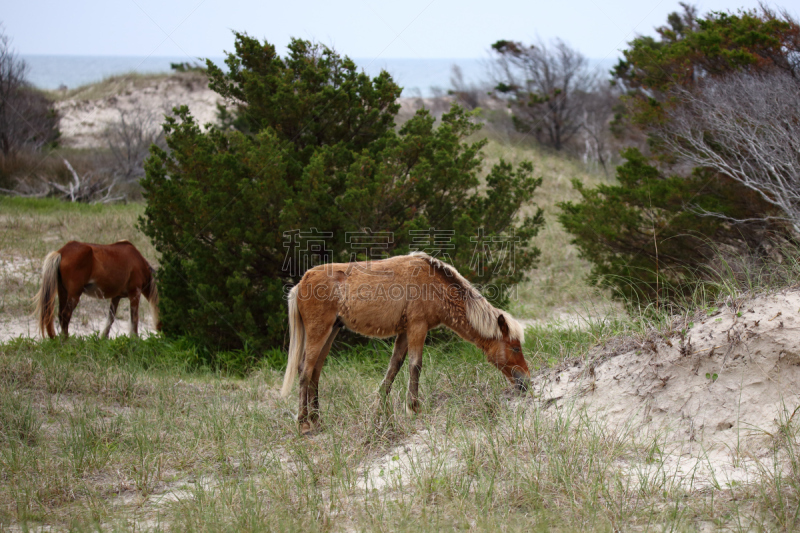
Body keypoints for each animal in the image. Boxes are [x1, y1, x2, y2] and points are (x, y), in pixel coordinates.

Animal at [282, 252, 532, 432]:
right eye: (515, 347)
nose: (526, 381)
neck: (433, 282)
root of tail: (300, 284)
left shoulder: (404, 333)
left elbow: (393, 368)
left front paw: (379, 411)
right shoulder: (417, 328)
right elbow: (415, 366)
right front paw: (414, 408)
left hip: (330, 332)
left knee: (315, 372)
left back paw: (317, 420)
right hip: (318, 332)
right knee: (305, 370)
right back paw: (304, 423)